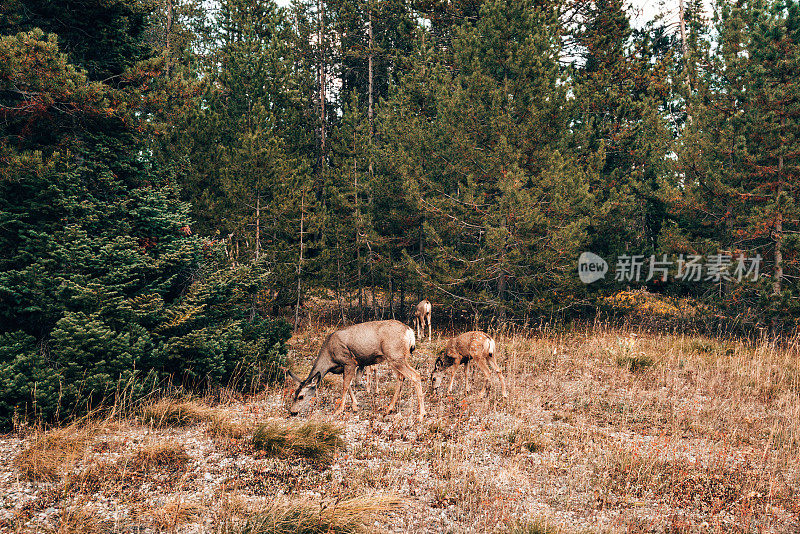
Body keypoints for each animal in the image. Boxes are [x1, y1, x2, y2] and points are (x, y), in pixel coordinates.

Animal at [286, 322, 428, 422]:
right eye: (294, 394)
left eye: (301, 396)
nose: (292, 412)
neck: (329, 357)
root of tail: (409, 331)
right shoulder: (345, 367)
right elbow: (348, 386)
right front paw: (355, 406)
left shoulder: (349, 362)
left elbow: (345, 386)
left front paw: (339, 410)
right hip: (395, 358)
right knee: (401, 378)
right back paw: (389, 409)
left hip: (395, 356)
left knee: (415, 375)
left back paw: (421, 415)